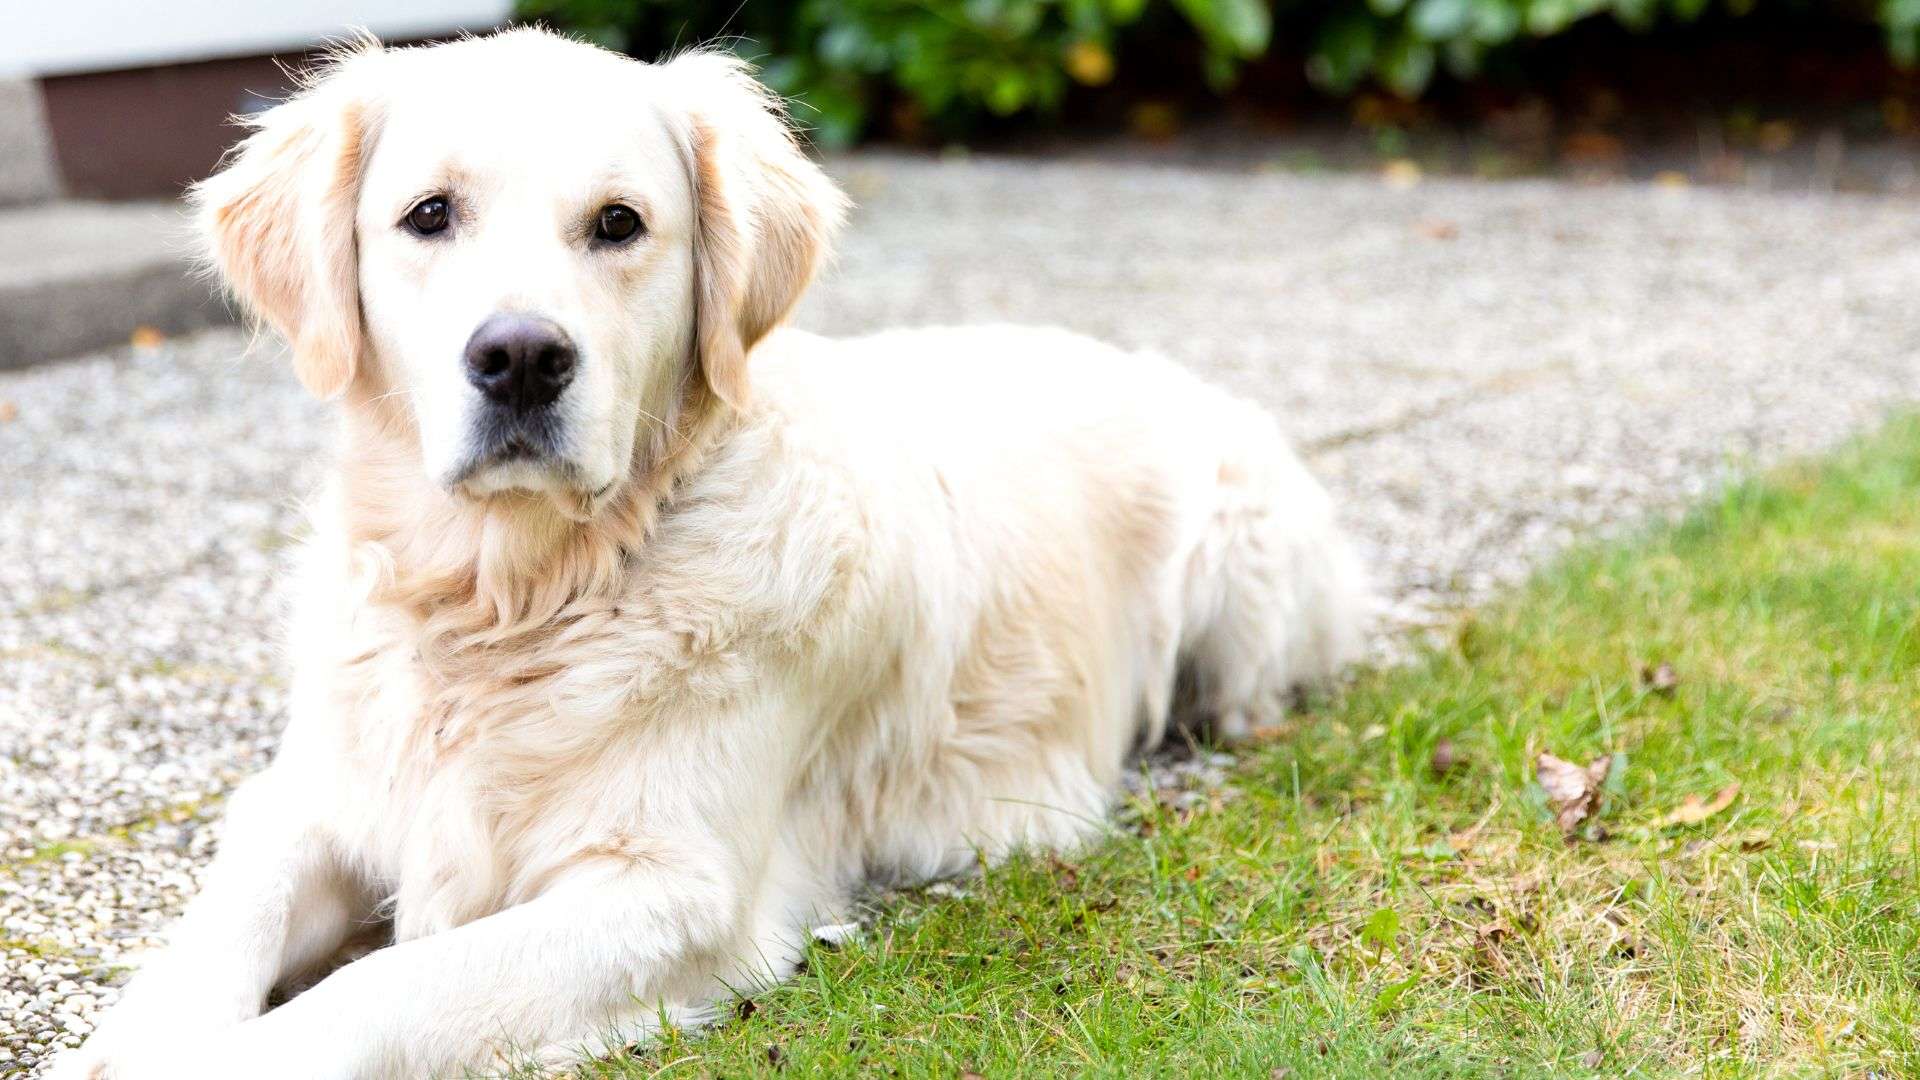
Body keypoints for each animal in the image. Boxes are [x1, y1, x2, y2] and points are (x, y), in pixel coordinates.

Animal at [56, 27, 1367, 1076]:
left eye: (619, 225)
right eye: (429, 215)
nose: (521, 358)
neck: (512, 598)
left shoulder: (669, 890)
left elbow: (384, 987)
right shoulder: (317, 794)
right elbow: (224, 920)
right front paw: (129, 1045)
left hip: (1243, 557)